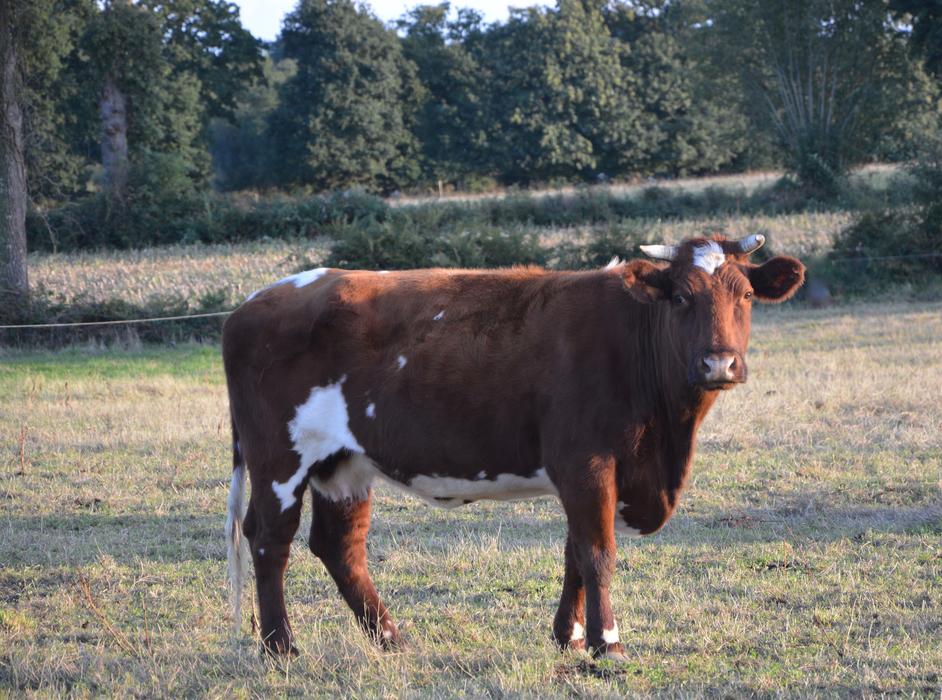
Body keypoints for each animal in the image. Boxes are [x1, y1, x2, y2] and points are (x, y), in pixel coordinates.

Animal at [222, 234, 805, 660]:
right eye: (682, 297)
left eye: (746, 296)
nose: (719, 363)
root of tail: (252, 303)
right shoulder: (586, 462)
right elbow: (598, 552)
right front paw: (607, 646)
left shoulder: (590, 473)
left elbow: (574, 552)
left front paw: (568, 637)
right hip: (279, 458)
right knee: (270, 539)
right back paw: (281, 647)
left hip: (343, 464)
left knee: (339, 546)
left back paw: (391, 639)